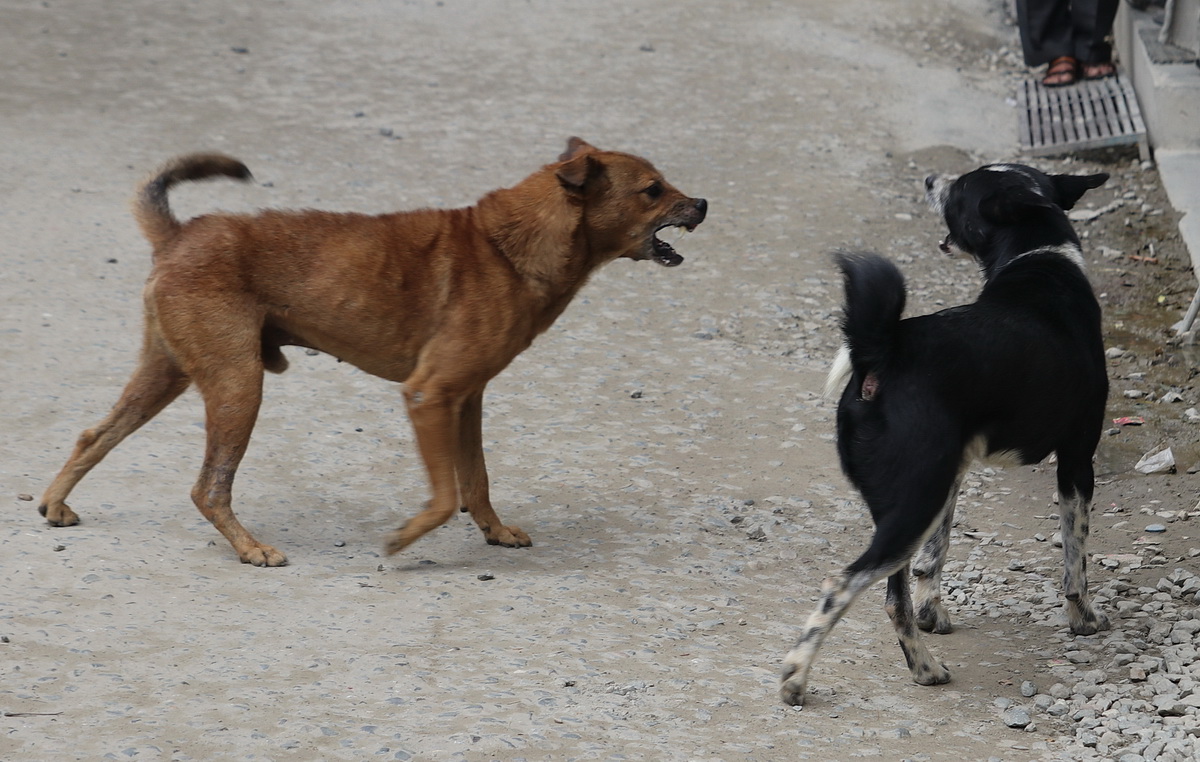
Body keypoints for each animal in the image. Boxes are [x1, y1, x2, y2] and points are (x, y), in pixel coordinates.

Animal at [42, 138, 705, 566]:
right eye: (653, 190)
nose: (702, 204)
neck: (507, 245)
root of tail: (179, 234)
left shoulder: (466, 399)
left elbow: (477, 481)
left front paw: (492, 531)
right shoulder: (429, 395)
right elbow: (445, 496)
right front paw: (403, 540)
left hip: (168, 374)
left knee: (94, 434)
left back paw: (55, 504)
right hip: (237, 385)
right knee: (208, 486)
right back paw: (250, 547)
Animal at [782, 164, 1108, 705]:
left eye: (959, 191)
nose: (932, 179)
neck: (1040, 257)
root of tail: (881, 354)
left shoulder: (956, 471)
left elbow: (935, 556)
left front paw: (935, 612)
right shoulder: (1077, 460)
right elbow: (1074, 557)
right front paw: (1083, 618)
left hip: (909, 501)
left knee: (894, 599)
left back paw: (924, 667)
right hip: (914, 505)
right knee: (840, 585)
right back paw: (796, 676)